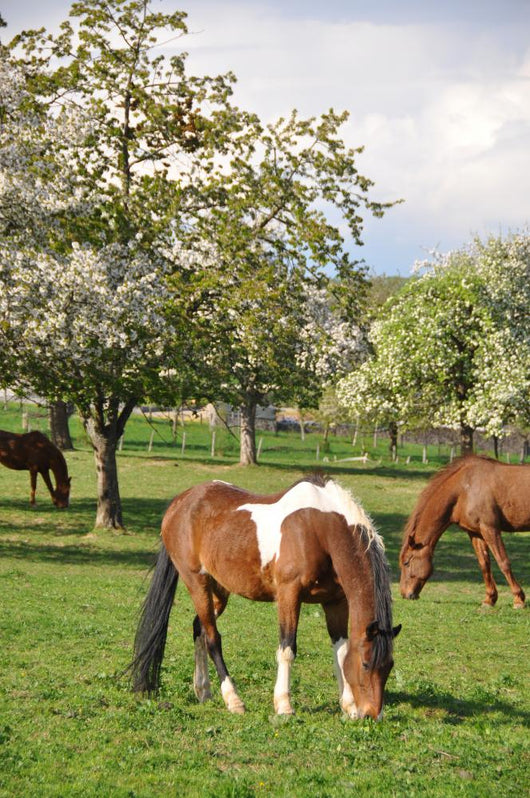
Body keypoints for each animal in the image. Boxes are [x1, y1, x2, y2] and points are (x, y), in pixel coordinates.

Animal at [130, 474, 400, 719]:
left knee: (200, 628)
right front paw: (284, 705)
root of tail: (179, 502)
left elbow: (341, 652)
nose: (373, 715)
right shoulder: (289, 595)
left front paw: (349, 707)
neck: (319, 529)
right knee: (213, 638)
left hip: (219, 591)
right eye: (365, 664)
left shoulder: (335, 602)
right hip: (197, 583)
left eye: (389, 666)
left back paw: (203, 691)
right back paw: (233, 700)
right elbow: (287, 648)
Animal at [399, 455, 528, 608]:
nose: (404, 594)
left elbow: (503, 563)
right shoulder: (476, 533)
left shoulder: (490, 529)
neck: (464, 489)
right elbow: (484, 564)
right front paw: (489, 599)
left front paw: (519, 599)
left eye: (407, 563)